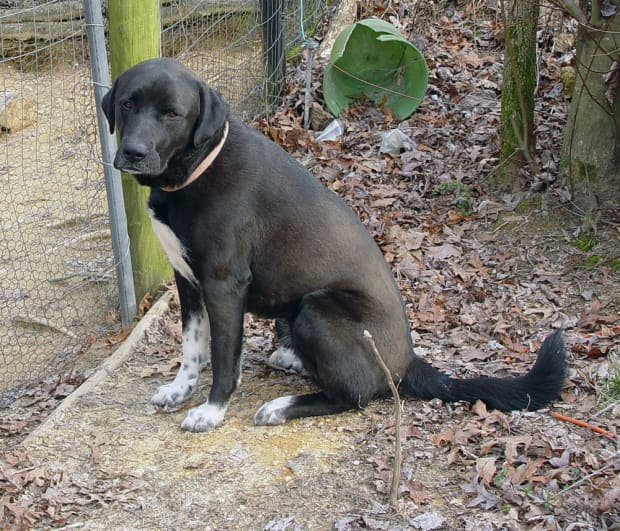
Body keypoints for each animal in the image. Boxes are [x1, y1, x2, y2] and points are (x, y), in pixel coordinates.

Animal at [103, 59, 568, 432]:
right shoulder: (188, 280)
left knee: (356, 395)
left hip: (317, 308)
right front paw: (180, 391)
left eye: (172, 114)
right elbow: (192, 347)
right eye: (127, 103)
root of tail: (407, 361)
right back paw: (291, 359)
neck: (196, 169)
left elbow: (221, 358)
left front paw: (211, 411)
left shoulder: (222, 285)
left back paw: (280, 406)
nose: (133, 152)